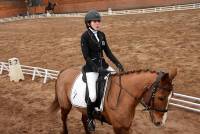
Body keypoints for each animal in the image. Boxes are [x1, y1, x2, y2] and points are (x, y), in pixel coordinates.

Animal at [49, 68, 177, 134]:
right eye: (161, 97)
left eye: (171, 97)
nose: (160, 122)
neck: (124, 96)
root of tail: (63, 71)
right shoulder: (117, 127)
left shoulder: (126, 127)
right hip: (65, 105)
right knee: (64, 118)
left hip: (84, 109)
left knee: (84, 119)